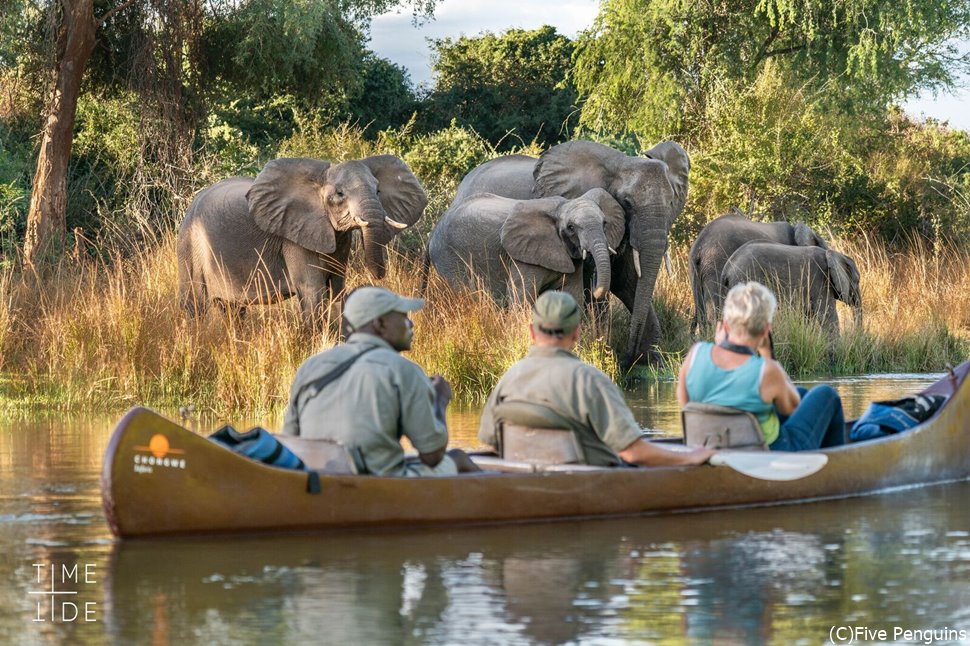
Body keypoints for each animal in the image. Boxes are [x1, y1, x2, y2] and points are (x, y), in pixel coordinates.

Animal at [177, 155, 424, 322]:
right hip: (190, 242)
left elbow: (336, 289)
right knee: (195, 304)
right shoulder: (294, 237)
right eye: (340, 194)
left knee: (232, 310)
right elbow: (312, 290)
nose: (379, 277)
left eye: (379, 191)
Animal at [426, 189, 624, 308]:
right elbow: (520, 297)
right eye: (571, 227)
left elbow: (572, 295)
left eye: (604, 223)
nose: (596, 290)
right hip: (449, 257)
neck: (561, 207)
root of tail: (434, 230)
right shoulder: (522, 258)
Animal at [450, 139, 692, 368]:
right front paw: (601, 352)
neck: (618, 164)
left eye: (672, 201)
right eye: (627, 203)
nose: (627, 358)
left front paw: (653, 362)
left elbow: (627, 281)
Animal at [720, 242, 864, 336]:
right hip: (745, 279)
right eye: (857, 281)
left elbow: (808, 317)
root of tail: (727, 268)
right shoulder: (820, 280)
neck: (832, 254)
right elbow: (827, 315)